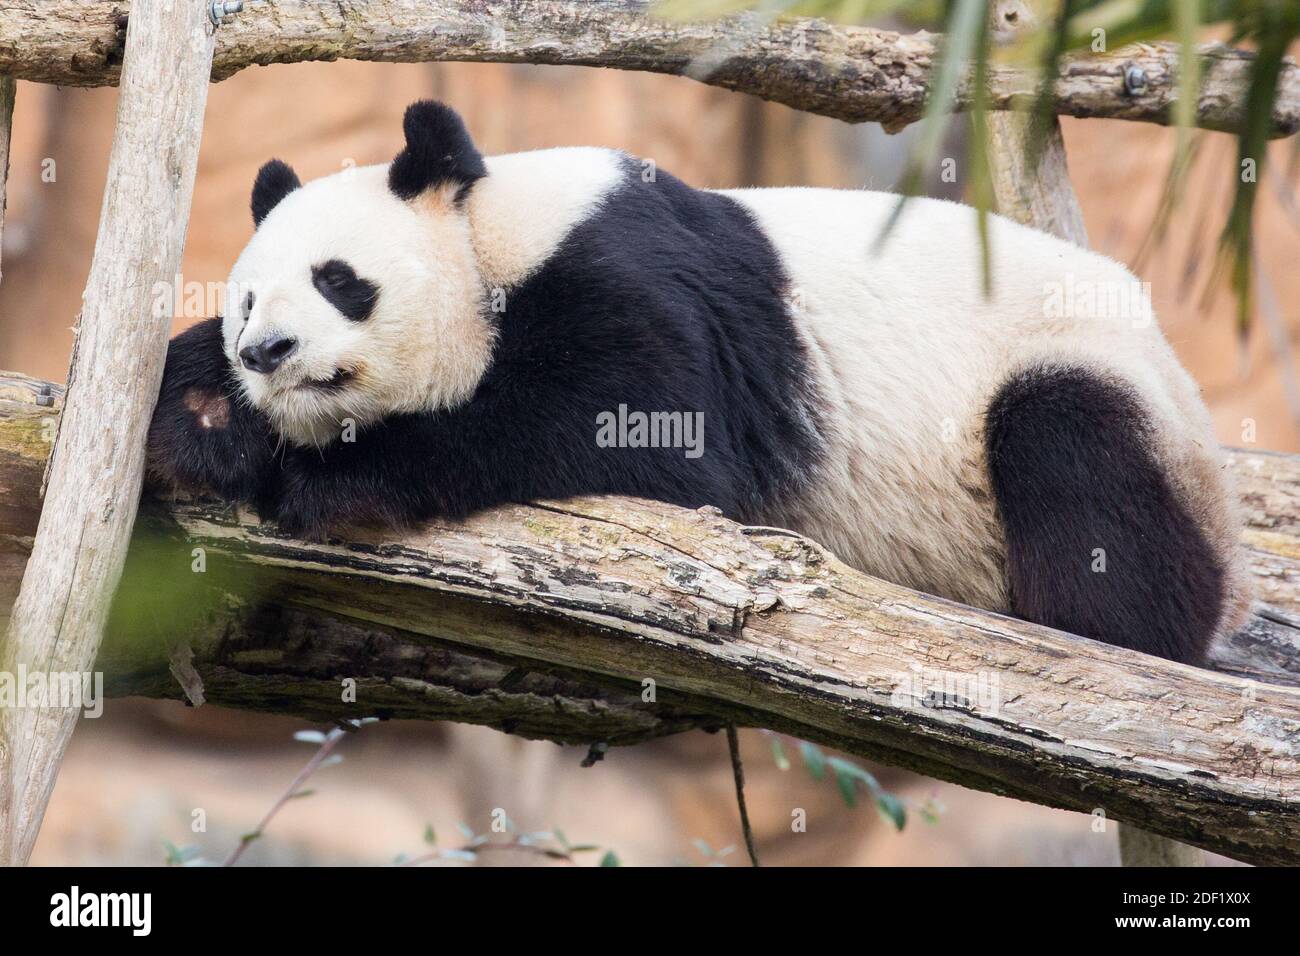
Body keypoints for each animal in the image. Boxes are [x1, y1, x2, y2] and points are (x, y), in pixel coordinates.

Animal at [148, 99, 1251, 666]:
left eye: (340, 280)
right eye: (246, 300)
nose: (267, 352)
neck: (490, 232)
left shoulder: (629, 274)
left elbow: (638, 430)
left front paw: (334, 477)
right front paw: (201, 414)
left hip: (1087, 378)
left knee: (1075, 450)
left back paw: (1093, 617)